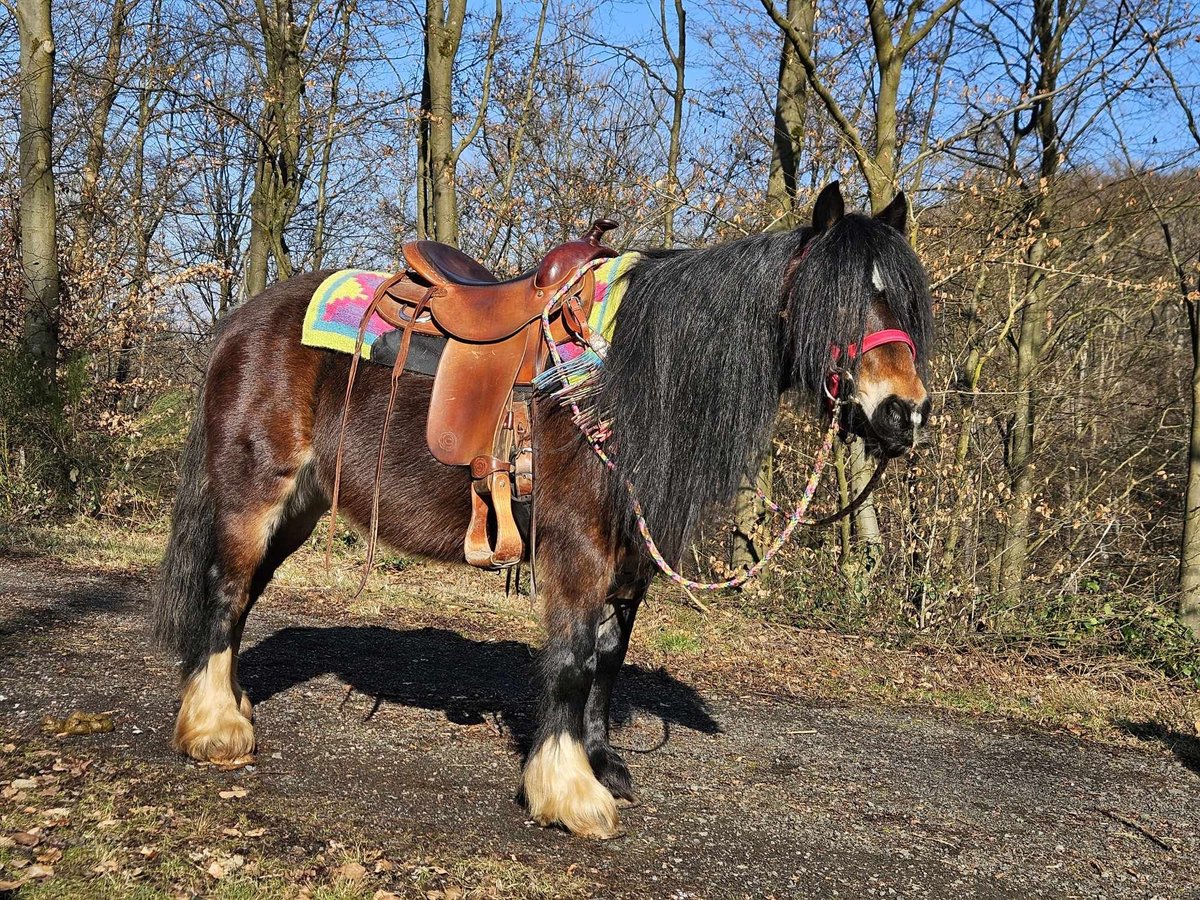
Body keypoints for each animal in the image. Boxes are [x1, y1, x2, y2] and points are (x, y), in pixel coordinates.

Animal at [154, 181, 931, 840]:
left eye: (904, 303)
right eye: (836, 300)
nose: (907, 413)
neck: (625, 377)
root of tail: (241, 322)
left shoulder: (629, 558)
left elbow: (608, 661)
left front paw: (601, 764)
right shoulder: (577, 547)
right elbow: (570, 661)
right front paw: (569, 791)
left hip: (301, 507)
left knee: (244, 595)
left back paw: (227, 701)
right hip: (256, 493)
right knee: (225, 589)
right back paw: (215, 728)